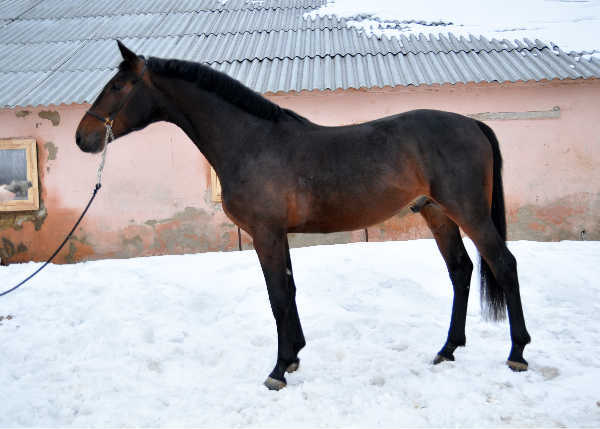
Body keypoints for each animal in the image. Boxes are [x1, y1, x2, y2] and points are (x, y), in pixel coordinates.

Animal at [75, 41, 531, 390]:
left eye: (118, 86)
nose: (83, 138)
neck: (251, 142)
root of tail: (472, 124)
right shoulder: (278, 234)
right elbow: (289, 291)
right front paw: (293, 357)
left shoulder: (265, 233)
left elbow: (277, 296)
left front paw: (278, 370)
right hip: (437, 214)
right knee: (461, 270)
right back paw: (447, 349)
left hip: (469, 213)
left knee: (504, 264)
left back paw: (517, 353)